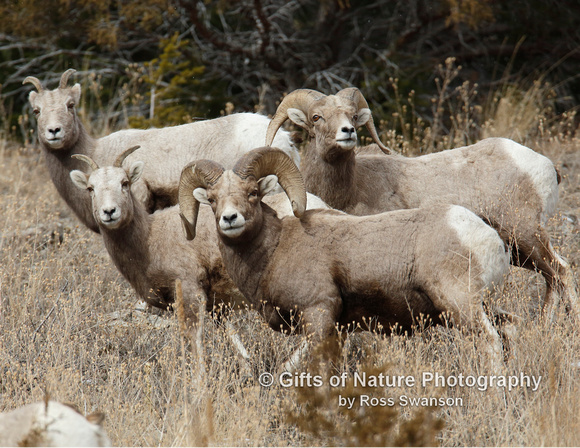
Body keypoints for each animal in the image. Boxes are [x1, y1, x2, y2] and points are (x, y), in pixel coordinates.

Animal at [178, 147, 512, 372]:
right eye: (211, 199)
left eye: (252, 193)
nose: (229, 218)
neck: (274, 250)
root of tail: (484, 237)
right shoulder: (338, 330)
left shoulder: (319, 314)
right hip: (485, 305)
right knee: (509, 329)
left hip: (460, 305)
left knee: (490, 342)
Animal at [266, 86, 576, 318]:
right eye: (316, 117)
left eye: (353, 116)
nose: (347, 132)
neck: (352, 187)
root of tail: (545, 165)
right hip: (518, 251)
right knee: (551, 280)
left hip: (527, 235)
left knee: (561, 271)